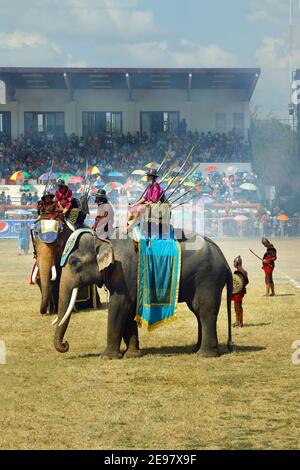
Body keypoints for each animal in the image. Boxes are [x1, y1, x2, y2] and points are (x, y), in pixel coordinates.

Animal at [53, 229, 232, 358]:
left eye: (74, 262)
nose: (66, 344)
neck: (104, 239)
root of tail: (224, 259)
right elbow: (129, 309)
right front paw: (132, 354)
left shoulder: (124, 271)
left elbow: (119, 306)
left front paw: (107, 357)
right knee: (197, 311)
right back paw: (195, 350)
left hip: (208, 277)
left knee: (205, 310)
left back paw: (205, 355)